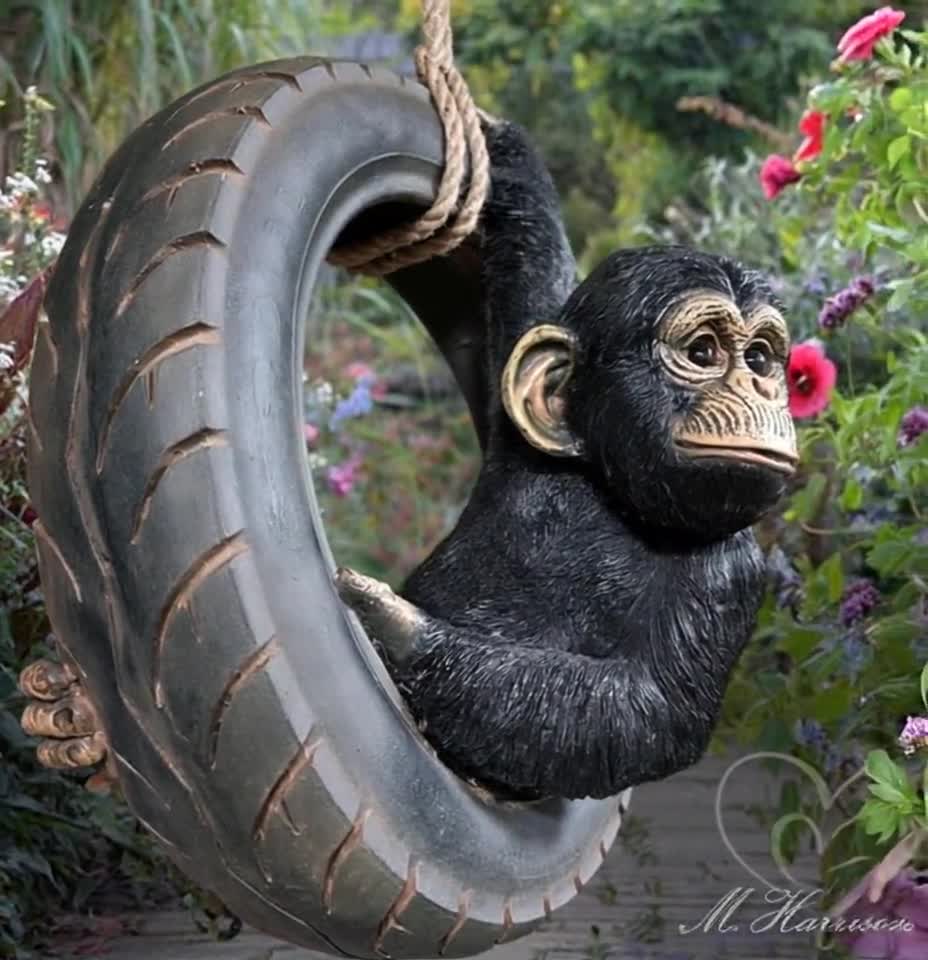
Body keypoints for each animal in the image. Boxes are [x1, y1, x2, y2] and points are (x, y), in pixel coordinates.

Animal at [20, 118, 797, 804]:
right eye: (705, 352)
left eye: (761, 358)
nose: (760, 388)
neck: (608, 491)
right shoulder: (521, 401)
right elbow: (533, 264)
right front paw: (494, 134)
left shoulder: (732, 576)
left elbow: (648, 712)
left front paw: (391, 624)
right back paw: (75, 723)